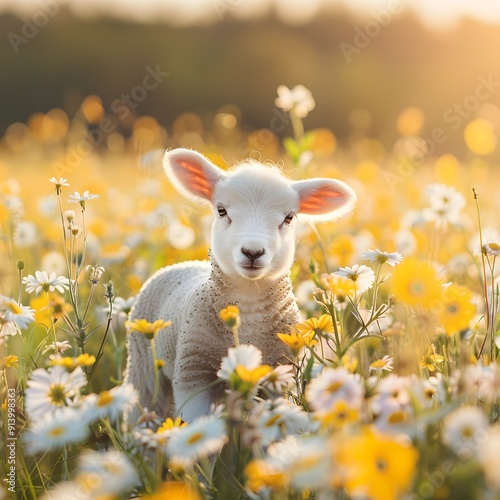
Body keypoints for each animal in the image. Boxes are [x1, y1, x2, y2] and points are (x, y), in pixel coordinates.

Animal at [127, 148, 358, 422]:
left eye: (289, 218)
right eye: (221, 210)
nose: (253, 251)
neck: (247, 306)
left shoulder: (279, 374)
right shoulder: (193, 373)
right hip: (142, 364)